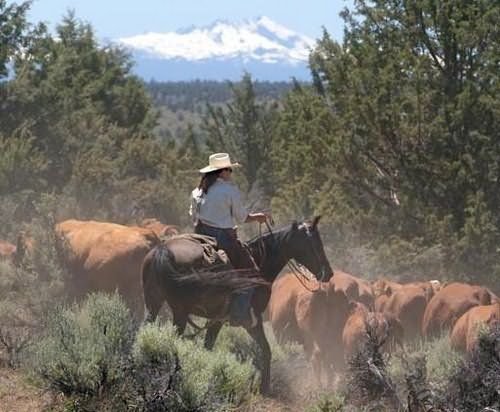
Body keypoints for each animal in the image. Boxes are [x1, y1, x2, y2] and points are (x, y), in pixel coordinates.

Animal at [141, 216, 332, 392]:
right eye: (316, 244)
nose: (328, 273)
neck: (259, 261)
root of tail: (164, 250)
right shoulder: (252, 320)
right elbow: (266, 350)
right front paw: (264, 388)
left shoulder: (216, 319)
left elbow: (207, 347)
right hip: (180, 312)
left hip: (153, 304)